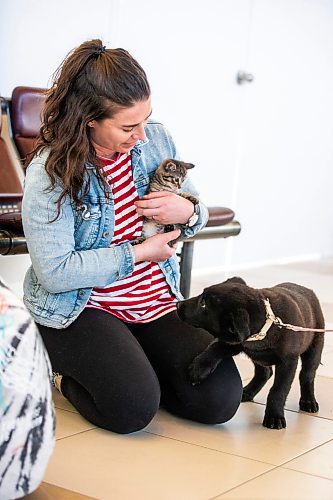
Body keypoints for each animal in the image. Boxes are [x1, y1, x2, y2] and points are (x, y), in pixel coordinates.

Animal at [178, 278, 322, 430]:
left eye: (203, 304)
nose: (178, 304)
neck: (267, 325)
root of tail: (307, 290)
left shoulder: (288, 362)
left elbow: (278, 390)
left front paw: (274, 416)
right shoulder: (236, 342)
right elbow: (215, 347)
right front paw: (199, 368)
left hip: (315, 347)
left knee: (307, 375)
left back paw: (308, 401)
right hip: (258, 358)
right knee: (265, 372)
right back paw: (248, 391)